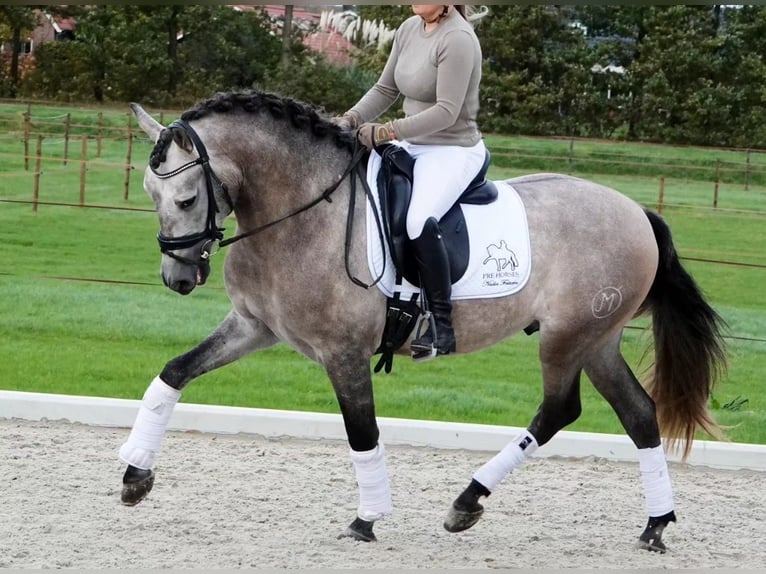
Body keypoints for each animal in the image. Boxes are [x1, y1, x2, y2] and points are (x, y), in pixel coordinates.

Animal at [120, 90, 726, 552]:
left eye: (186, 197)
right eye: (150, 193)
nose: (177, 277)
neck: (299, 213)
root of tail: (636, 211)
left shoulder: (343, 352)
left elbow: (362, 432)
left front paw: (367, 519)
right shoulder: (254, 327)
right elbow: (174, 372)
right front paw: (134, 475)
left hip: (567, 337)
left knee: (560, 408)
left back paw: (467, 502)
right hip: (597, 340)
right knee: (638, 414)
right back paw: (654, 524)